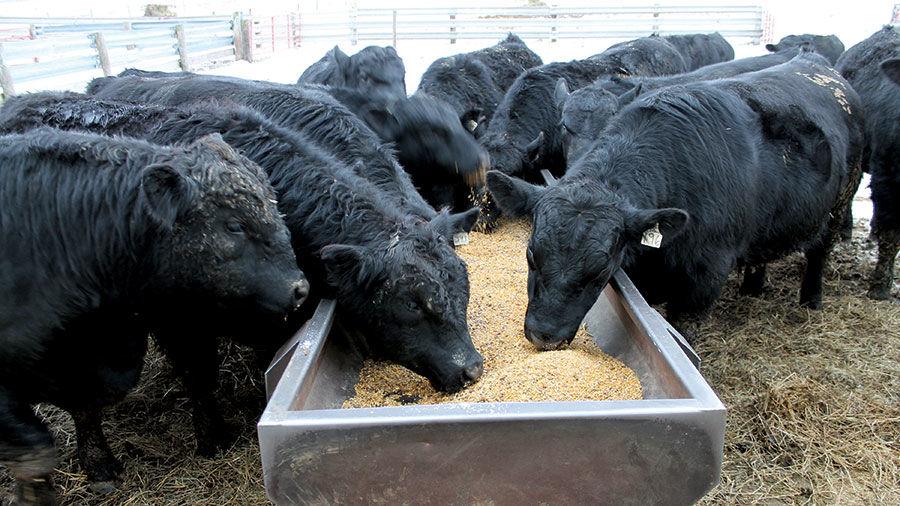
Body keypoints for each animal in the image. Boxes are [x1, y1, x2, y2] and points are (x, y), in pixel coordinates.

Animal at [488, 54, 863, 349]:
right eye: (531, 255)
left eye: (600, 270)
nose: (544, 335)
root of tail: (813, 62)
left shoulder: (703, 281)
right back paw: (752, 287)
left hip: (838, 205)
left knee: (819, 252)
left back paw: (811, 299)